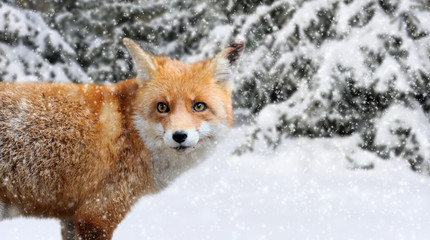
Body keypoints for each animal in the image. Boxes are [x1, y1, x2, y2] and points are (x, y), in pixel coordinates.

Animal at [0, 38, 245, 239]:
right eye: (162, 107)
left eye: (199, 106)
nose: (179, 136)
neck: (130, 131)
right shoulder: (97, 215)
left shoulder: (71, 215)